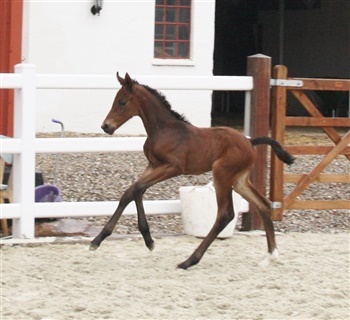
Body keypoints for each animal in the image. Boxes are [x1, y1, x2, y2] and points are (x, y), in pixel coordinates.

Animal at [89, 73, 294, 270]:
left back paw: (189, 261)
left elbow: (137, 188)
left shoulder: (173, 167)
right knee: (263, 204)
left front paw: (145, 239)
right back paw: (270, 256)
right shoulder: (153, 165)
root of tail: (250, 142)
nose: (106, 126)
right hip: (239, 180)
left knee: (225, 214)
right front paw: (103, 240)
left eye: (122, 102)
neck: (163, 129)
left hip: (222, 174)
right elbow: (131, 191)